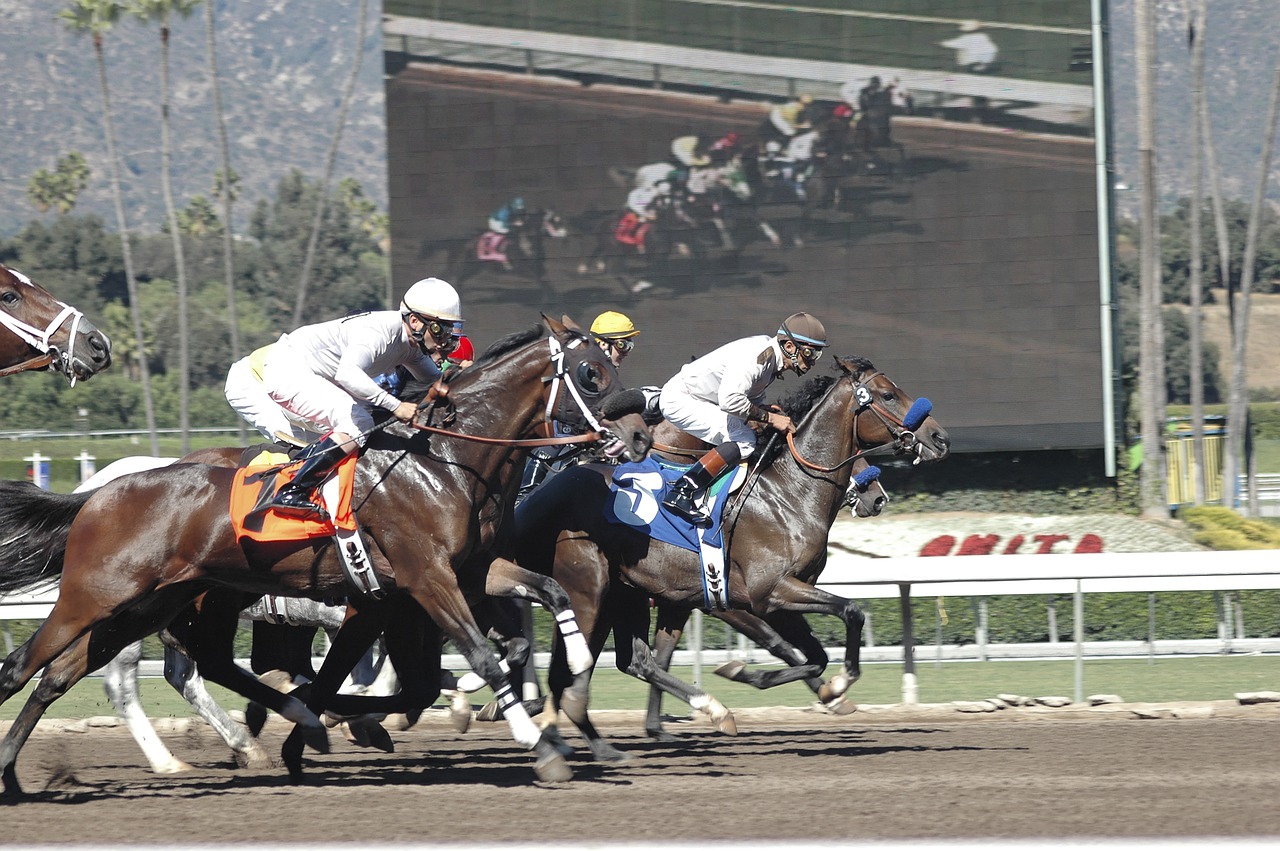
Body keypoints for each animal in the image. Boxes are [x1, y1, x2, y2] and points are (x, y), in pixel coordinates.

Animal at [0, 314, 650, 793]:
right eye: (590, 374)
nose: (640, 435)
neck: (447, 461)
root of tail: (97, 493)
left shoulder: (468, 570)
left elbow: (547, 593)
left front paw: (574, 672)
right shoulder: (426, 579)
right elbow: (480, 659)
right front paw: (539, 744)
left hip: (153, 603)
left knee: (69, 672)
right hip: (98, 595)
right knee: (27, 664)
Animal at [514, 355, 947, 752]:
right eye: (888, 395)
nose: (939, 436)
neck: (789, 493)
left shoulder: (778, 598)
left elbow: (812, 654)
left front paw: (772, 679)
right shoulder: (763, 594)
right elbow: (846, 614)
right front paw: (836, 684)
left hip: (625, 593)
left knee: (635, 660)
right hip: (589, 588)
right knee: (576, 659)